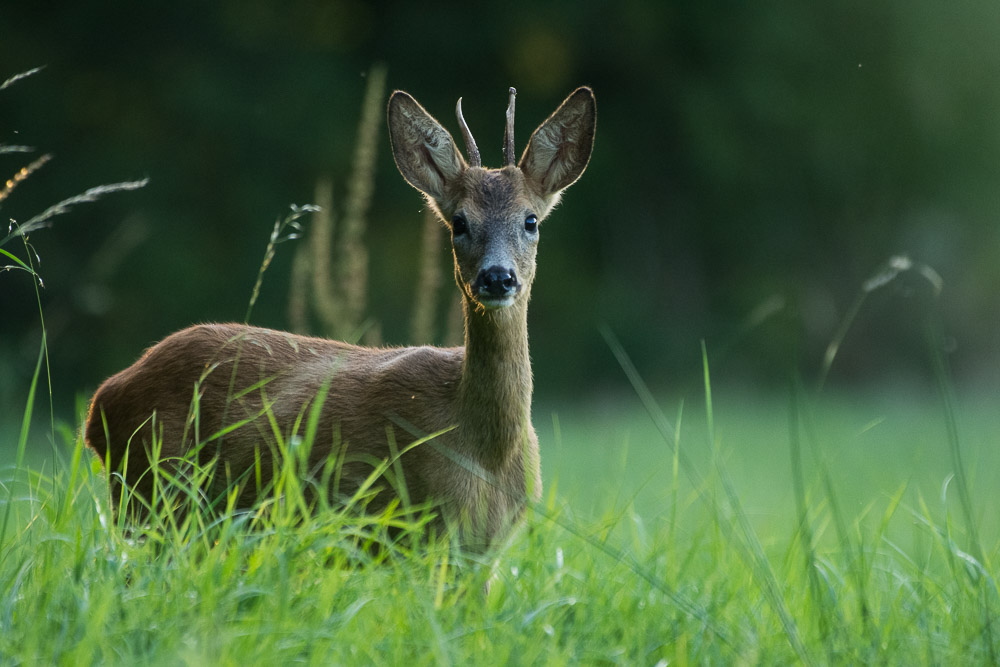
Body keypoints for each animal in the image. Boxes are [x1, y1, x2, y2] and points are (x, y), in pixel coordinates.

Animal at [84, 86, 592, 552]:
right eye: (459, 223)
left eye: (531, 221)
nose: (497, 277)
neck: (484, 453)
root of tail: (100, 401)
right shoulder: (413, 532)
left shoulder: (482, 553)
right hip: (151, 494)